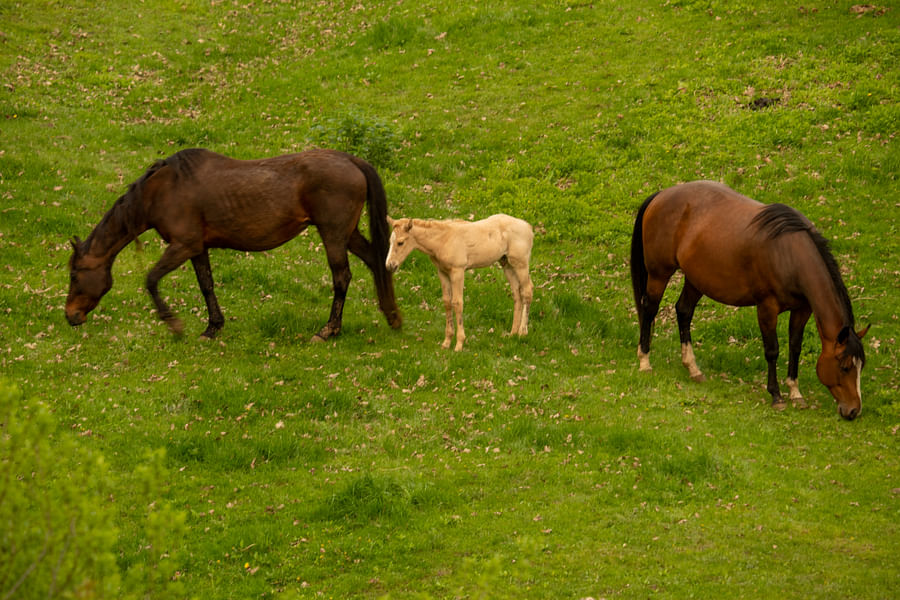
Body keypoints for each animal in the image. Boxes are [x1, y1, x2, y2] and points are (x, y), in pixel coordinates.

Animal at [66, 148, 402, 341]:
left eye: (74, 276)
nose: (70, 316)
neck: (163, 190)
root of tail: (351, 160)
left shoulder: (182, 246)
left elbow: (151, 279)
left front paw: (174, 325)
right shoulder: (197, 248)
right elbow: (206, 285)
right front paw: (212, 327)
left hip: (332, 234)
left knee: (342, 277)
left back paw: (328, 330)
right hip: (347, 233)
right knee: (376, 261)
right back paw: (392, 316)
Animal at [385, 214, 534, 351]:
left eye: (400, 242)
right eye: (390, 241)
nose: (390, 265)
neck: (442, 240)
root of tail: (528, 227)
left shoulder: (458, 271)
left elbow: (457, 303)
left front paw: (459, 344)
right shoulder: (443, 272)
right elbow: (447, 302)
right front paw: (446, 342)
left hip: (520, 263)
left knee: (527, 290)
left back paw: (523, 332)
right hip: (506, 263)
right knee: (517, 293)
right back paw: (512, 333)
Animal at [630, 180, 868, 420]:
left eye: (861, 367)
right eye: (845, 367)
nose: (853, 410)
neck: (789, 255)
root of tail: (661, 195)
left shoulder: (802, 309)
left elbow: (795, 346)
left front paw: (795, 393)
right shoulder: (767, 309)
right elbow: (772, 350)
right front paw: (776, 396)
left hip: (696, 280)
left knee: (684, 311)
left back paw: (693, 368)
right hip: (659, 274)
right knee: (649, 309)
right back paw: (645, 361)